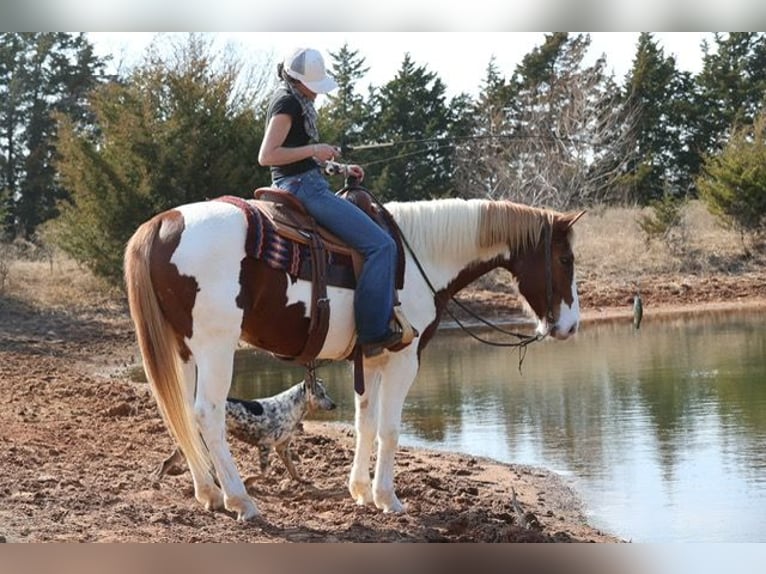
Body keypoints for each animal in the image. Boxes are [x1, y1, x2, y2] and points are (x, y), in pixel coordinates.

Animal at [123, 195, 585, 521]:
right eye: (565, 259)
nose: (570, 326)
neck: (417, 256)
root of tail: (164, 223)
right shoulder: (405, 359)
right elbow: (390, 430)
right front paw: (387, 498)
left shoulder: (372, 359)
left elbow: (366, 423)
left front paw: (361, 492)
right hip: (216, 346)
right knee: (207, 415)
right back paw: (241, 501)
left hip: (184, 349)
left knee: (183, 414)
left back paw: (210, 494)